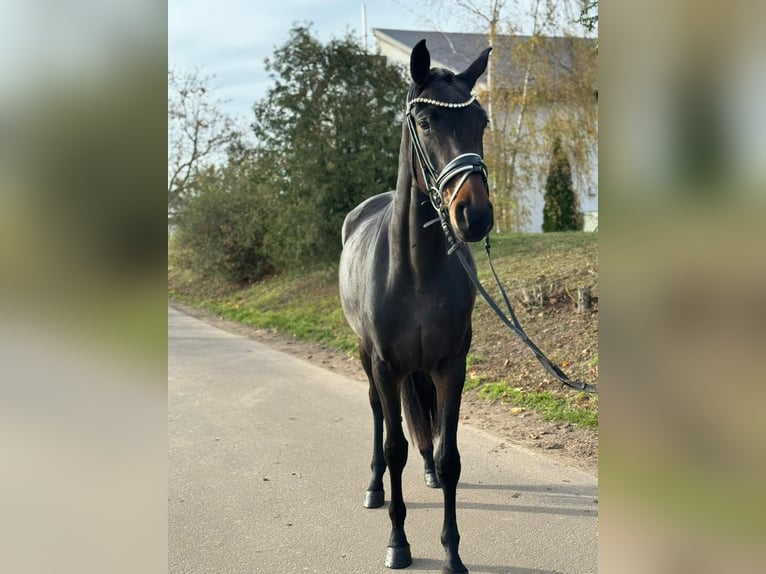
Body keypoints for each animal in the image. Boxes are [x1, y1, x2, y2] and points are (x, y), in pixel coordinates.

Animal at [338, 39, 493, 573]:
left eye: (481, 121)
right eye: (425, 122)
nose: (474, 215)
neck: (416, 268)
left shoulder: (451, 365)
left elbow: (449, 457)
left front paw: (452, 552)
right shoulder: (386, 366)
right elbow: (394, 447)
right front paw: (399, 543)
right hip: (367, 359)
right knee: (378, 415)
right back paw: (372, 487)